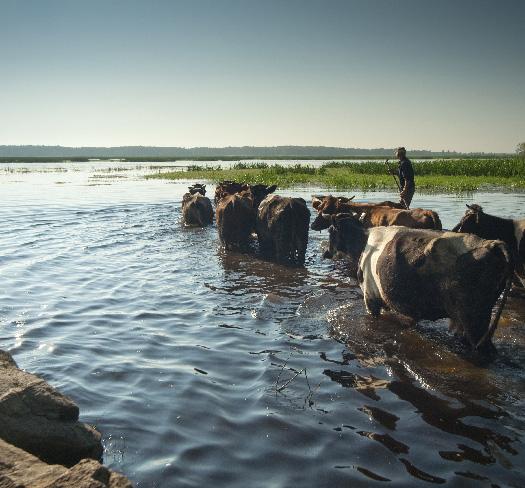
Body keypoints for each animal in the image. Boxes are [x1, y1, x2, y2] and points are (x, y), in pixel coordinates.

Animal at [322, 212, 510, 352]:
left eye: (331, 231)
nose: (325, 253)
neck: (363, 244)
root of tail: (492, 244)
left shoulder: (370, 298)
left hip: (474, 318)